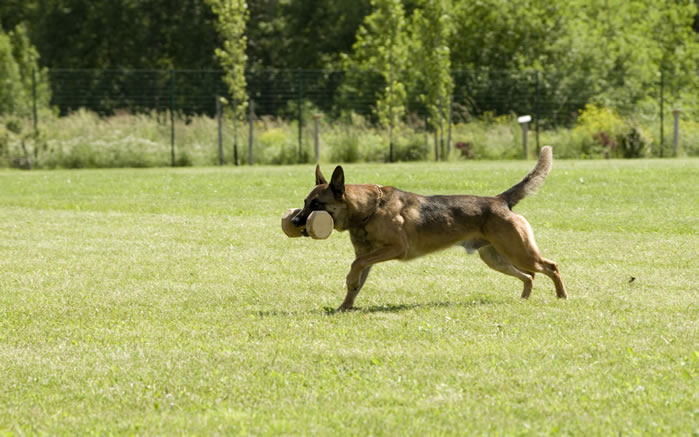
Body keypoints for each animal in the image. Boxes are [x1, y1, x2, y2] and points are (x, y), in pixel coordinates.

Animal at [292, 146, 568, 310]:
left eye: (316, 204)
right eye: (305, 203)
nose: (294, 222)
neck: (368, 210)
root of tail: (500, 200)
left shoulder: (395, 248)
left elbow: (354, 267)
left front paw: (348, 285)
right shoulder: (368, 256)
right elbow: (357, 281)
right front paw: (344, 307)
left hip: (520, 253)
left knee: (551, 267)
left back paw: (562, 296)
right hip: (496, 258)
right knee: (529, 276)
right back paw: (524, 299)